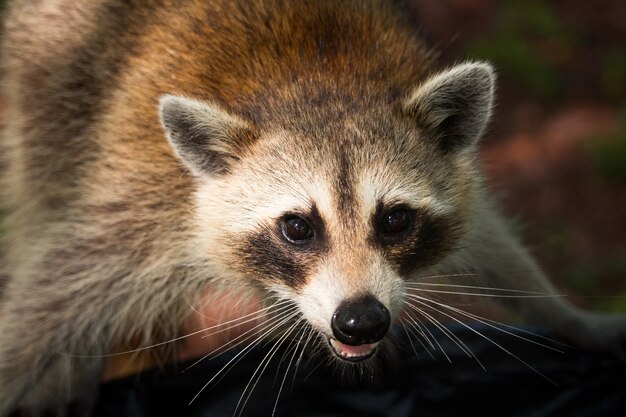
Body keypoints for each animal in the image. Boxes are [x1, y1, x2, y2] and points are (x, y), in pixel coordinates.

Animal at [1, 0, 624, 414]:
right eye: (297, 228)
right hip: (50, 88)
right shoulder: (150, 199)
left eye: (395, 219)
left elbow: (494, 241)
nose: (361, 319)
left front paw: (570, 318)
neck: (323, 84)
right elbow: (52, 292)